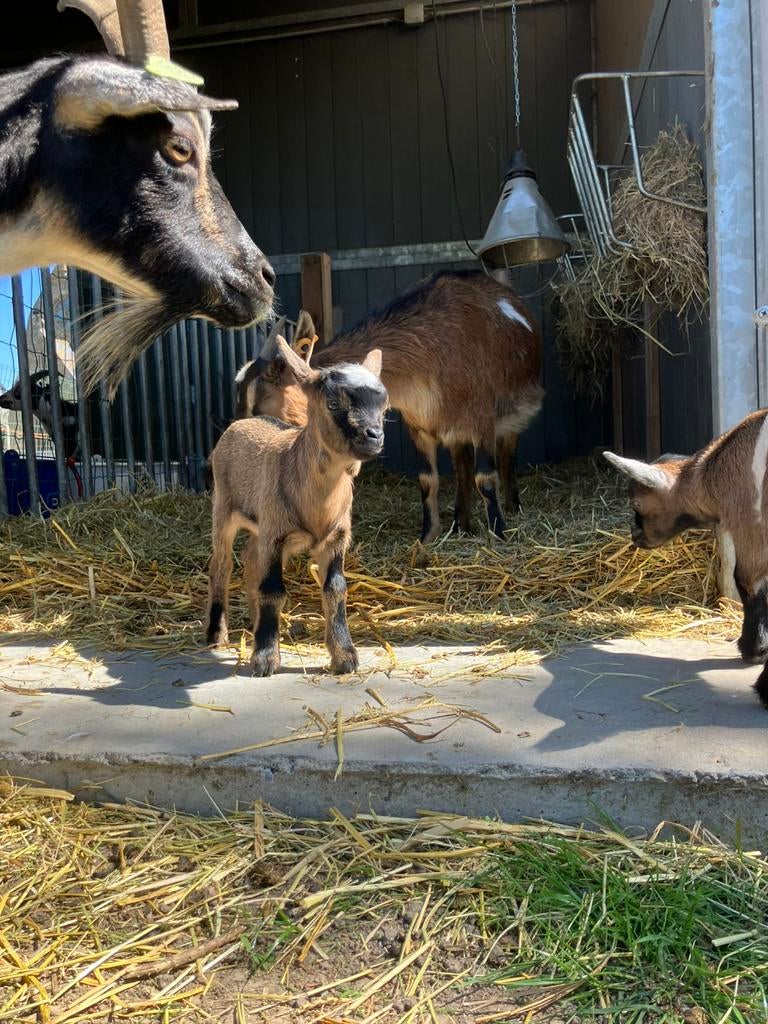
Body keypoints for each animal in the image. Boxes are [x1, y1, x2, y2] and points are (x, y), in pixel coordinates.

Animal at [205, 338, 387, 677]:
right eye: (333, 403)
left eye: (384, 406)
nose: (374, 436)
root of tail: (245, 420)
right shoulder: (276, 535)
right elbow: (273, 589)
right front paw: (265, 659)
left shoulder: (335, 538)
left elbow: (336, 589)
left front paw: (345, 657)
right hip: (223, 508)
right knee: (221, 565)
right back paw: (215, 635)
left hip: (263, 527)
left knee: (251, 560)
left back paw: (257, 624)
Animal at [234, 271, 543, 543]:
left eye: (260, 407)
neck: (433, 351)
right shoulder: (419, 426)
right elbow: (428, 480)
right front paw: (428, 536)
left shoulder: (482, 421)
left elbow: (486, 477)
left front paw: (499, 534)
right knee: (462, 467)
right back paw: (461, 525)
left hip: (512, 414)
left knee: (506, 455)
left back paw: (513, 508)